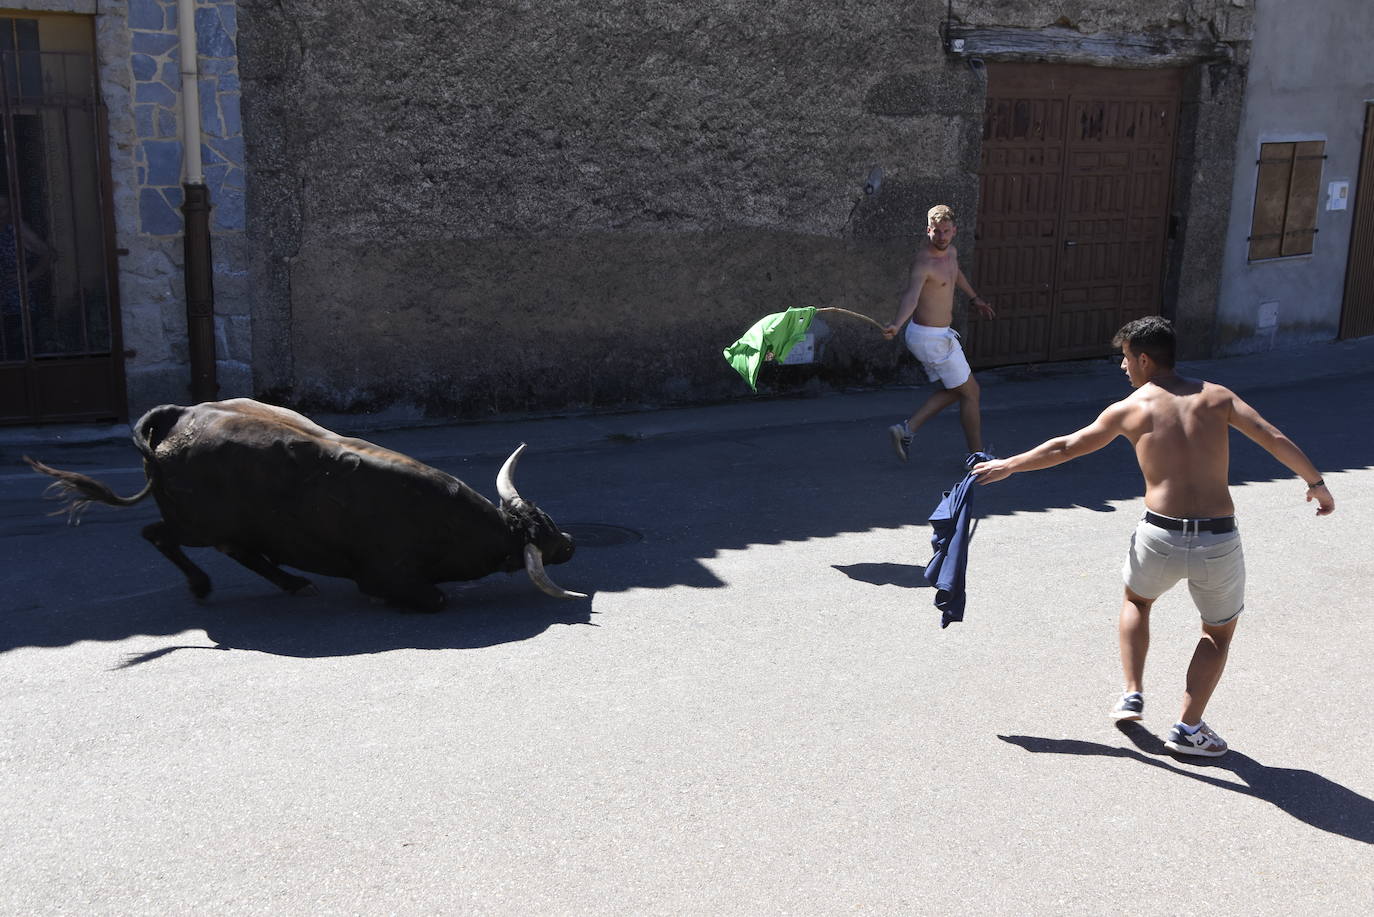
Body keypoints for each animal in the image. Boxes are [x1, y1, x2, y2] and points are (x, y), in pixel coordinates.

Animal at [26, 398, 582, 610]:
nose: (571, 543)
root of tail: (178, 413)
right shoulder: (390, 573)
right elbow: (434, 597)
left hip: (226, 526)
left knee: (242, 552)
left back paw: (294, 583)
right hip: (197, 523)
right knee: (158, 535)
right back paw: (203, 585)